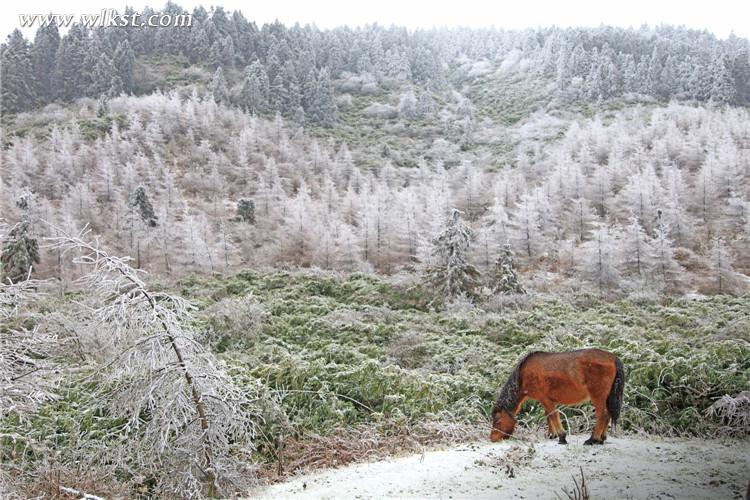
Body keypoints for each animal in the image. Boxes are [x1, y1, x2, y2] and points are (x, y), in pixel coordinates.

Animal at [490, 348, 624, 446]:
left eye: (497, 421)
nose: (492, 438)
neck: (523, 375)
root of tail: (613, 357)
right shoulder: (546, 401)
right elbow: (548, 416)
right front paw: (551, 435)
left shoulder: (545, 399)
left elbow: (553, 415)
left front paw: (561, 437)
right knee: (608, 414)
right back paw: (602, 438)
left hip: (598, 396)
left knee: (603, 414)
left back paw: (593, 439)